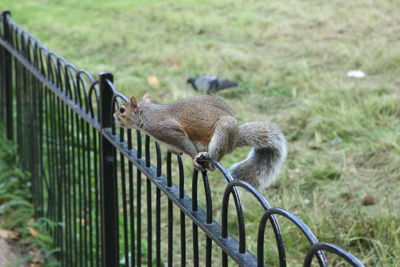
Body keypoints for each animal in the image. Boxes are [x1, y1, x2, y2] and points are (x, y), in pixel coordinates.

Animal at [114, 93, 286, 188]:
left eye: (122, 110)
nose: (114, 116)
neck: (146, 115)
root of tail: (235, 139)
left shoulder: (171, 131)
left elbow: (186, 145)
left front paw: (193, 158)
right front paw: (174, 152)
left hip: (223, 133)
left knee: (213, 165)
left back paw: (206, 159)